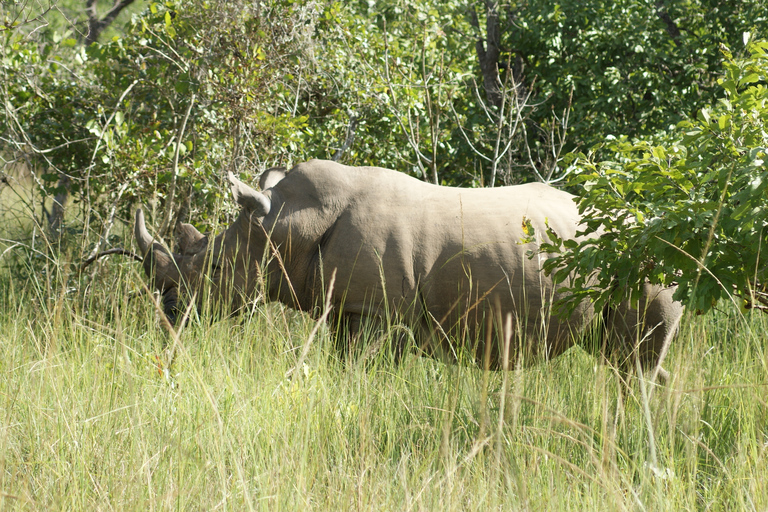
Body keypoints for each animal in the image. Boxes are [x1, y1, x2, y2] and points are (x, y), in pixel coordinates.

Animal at [132, 160, 684, 380]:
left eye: (214, 265)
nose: (169, 311)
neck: (289, 222)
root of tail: (660, 225)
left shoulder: (377, 312)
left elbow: (362, 372)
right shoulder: (350, 308)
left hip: (645, 260)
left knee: (632, 359)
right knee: (624, 357)